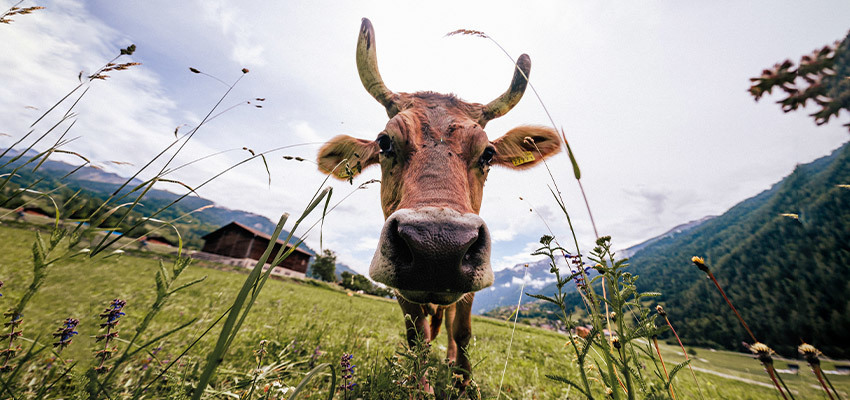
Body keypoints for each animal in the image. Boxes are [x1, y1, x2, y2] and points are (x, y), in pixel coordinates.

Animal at [314, 18, 560, 384]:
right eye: (384, 142)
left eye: (488, 154)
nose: (438, 245)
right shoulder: (401, 289)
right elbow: (417, 336)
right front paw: (420, 384)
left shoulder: (469, 290)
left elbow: (462, 332)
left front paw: (464, 382)